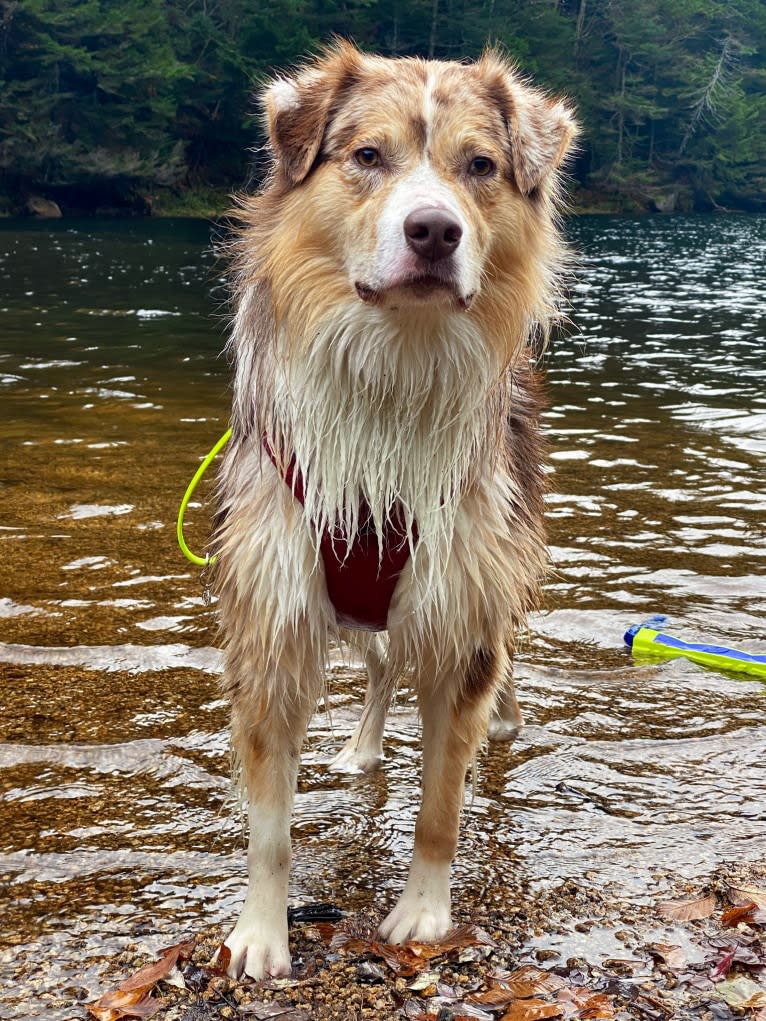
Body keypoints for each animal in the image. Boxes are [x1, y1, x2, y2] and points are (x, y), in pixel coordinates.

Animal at [213, 41, 580, 980]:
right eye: (368, 155)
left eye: (479, 166)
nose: (434, 231)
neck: (397, 368)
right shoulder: (274, 616)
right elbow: (269, 827)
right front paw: (261, 934)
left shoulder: (463, 610)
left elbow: (440, 804)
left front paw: (423, 915)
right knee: (379, 671)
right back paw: (362, 746)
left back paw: (504, 725)